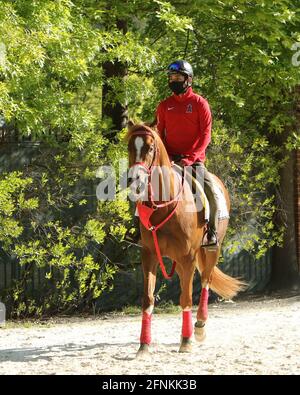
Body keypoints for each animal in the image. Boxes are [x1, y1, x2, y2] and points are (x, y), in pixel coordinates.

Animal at [125, 124, 245, 356]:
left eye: (150, 148)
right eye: (129, 146)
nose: (135, 179)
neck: (165, 206)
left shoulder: (188, 257)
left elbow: (187, 298)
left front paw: (187, 341)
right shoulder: (149, 256)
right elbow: (148, 299)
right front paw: (144, 345)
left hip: (211, 250)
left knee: (206, 281)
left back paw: (199, 326)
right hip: (178, 261)